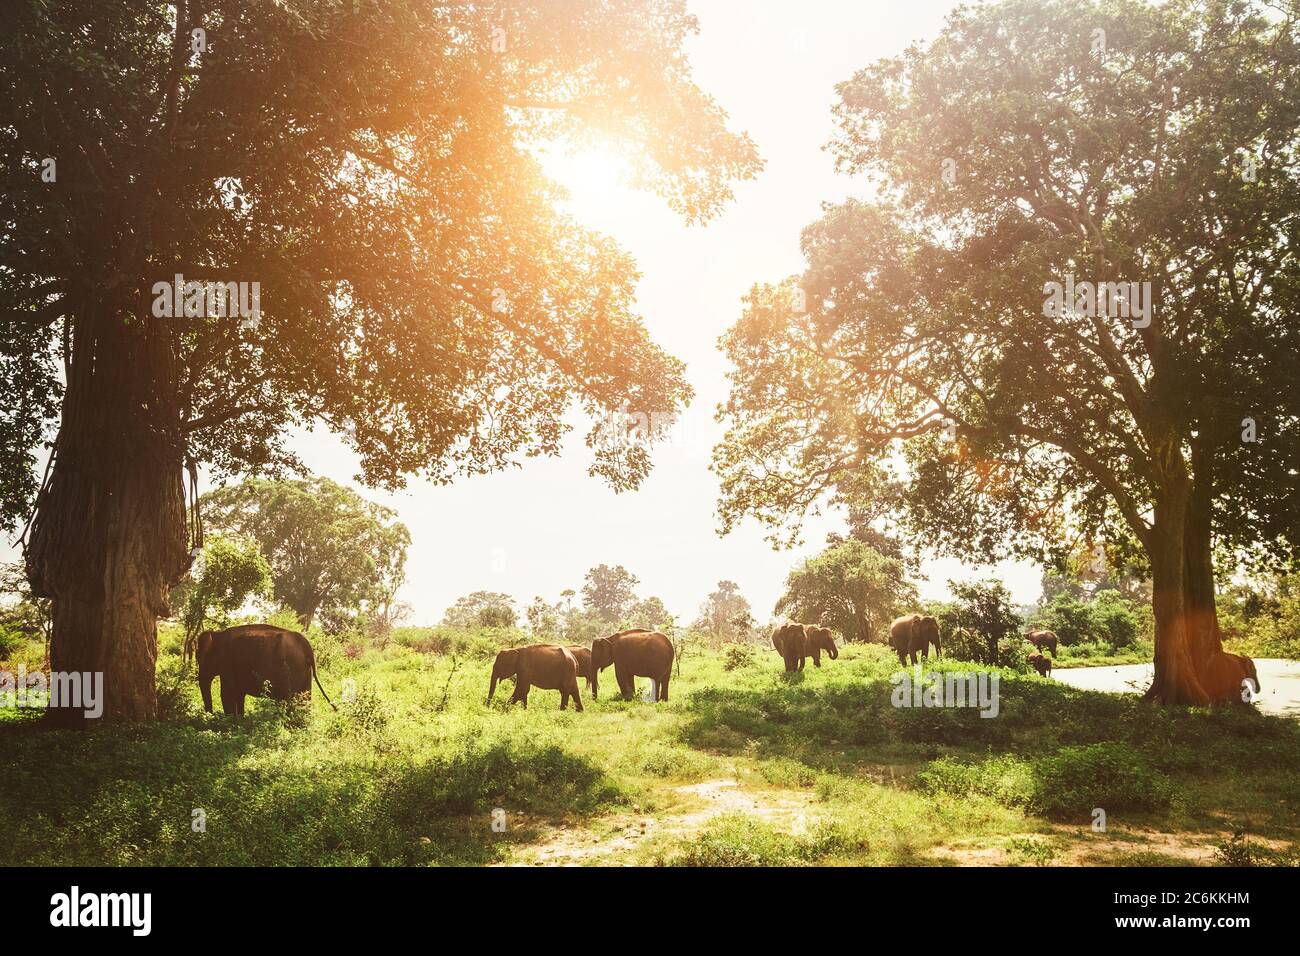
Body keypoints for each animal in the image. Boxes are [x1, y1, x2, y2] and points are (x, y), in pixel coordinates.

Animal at [195, 624, 335, 712]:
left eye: (198, 658)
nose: (209, 713)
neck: (217, 634)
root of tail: (307, 646)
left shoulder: (228, 664)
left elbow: (227, 694)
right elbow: (239, 695)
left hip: (290, 670)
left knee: (288, 701)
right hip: (305, 673)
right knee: (304, 701)